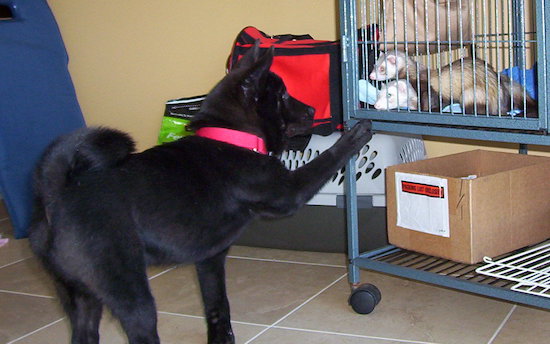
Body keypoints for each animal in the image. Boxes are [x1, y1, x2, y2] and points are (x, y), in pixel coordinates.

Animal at [30, 41, 376, 342]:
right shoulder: (287, 191)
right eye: (282, 96)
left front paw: (222, 339)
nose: (313, 109)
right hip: (129, 294)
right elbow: (325, 161)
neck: (231, 138)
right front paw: (355, 135)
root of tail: (56, 197)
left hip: (80, 297)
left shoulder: (210, 260)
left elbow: (217, 307)